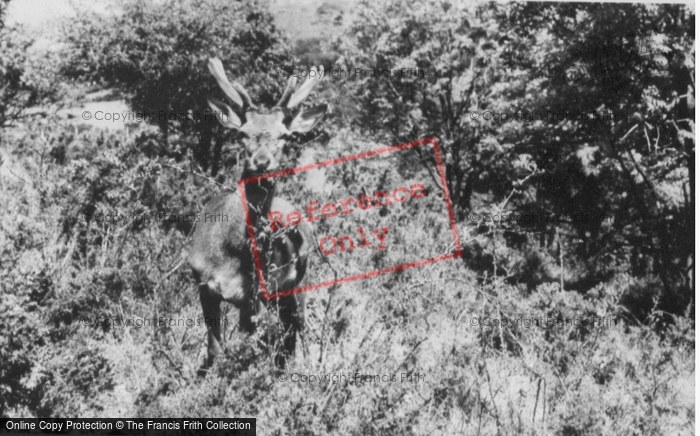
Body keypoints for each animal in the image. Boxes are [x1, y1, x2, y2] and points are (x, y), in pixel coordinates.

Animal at [187, 58, 326, 372]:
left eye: (285, 135)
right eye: (242, 133)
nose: (262, 161)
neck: (230, 254)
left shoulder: (253, 297)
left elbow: (247, 348)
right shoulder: (203, 283)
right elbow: (215, 348)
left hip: (300, 281)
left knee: (300, 332)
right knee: (286, 336)